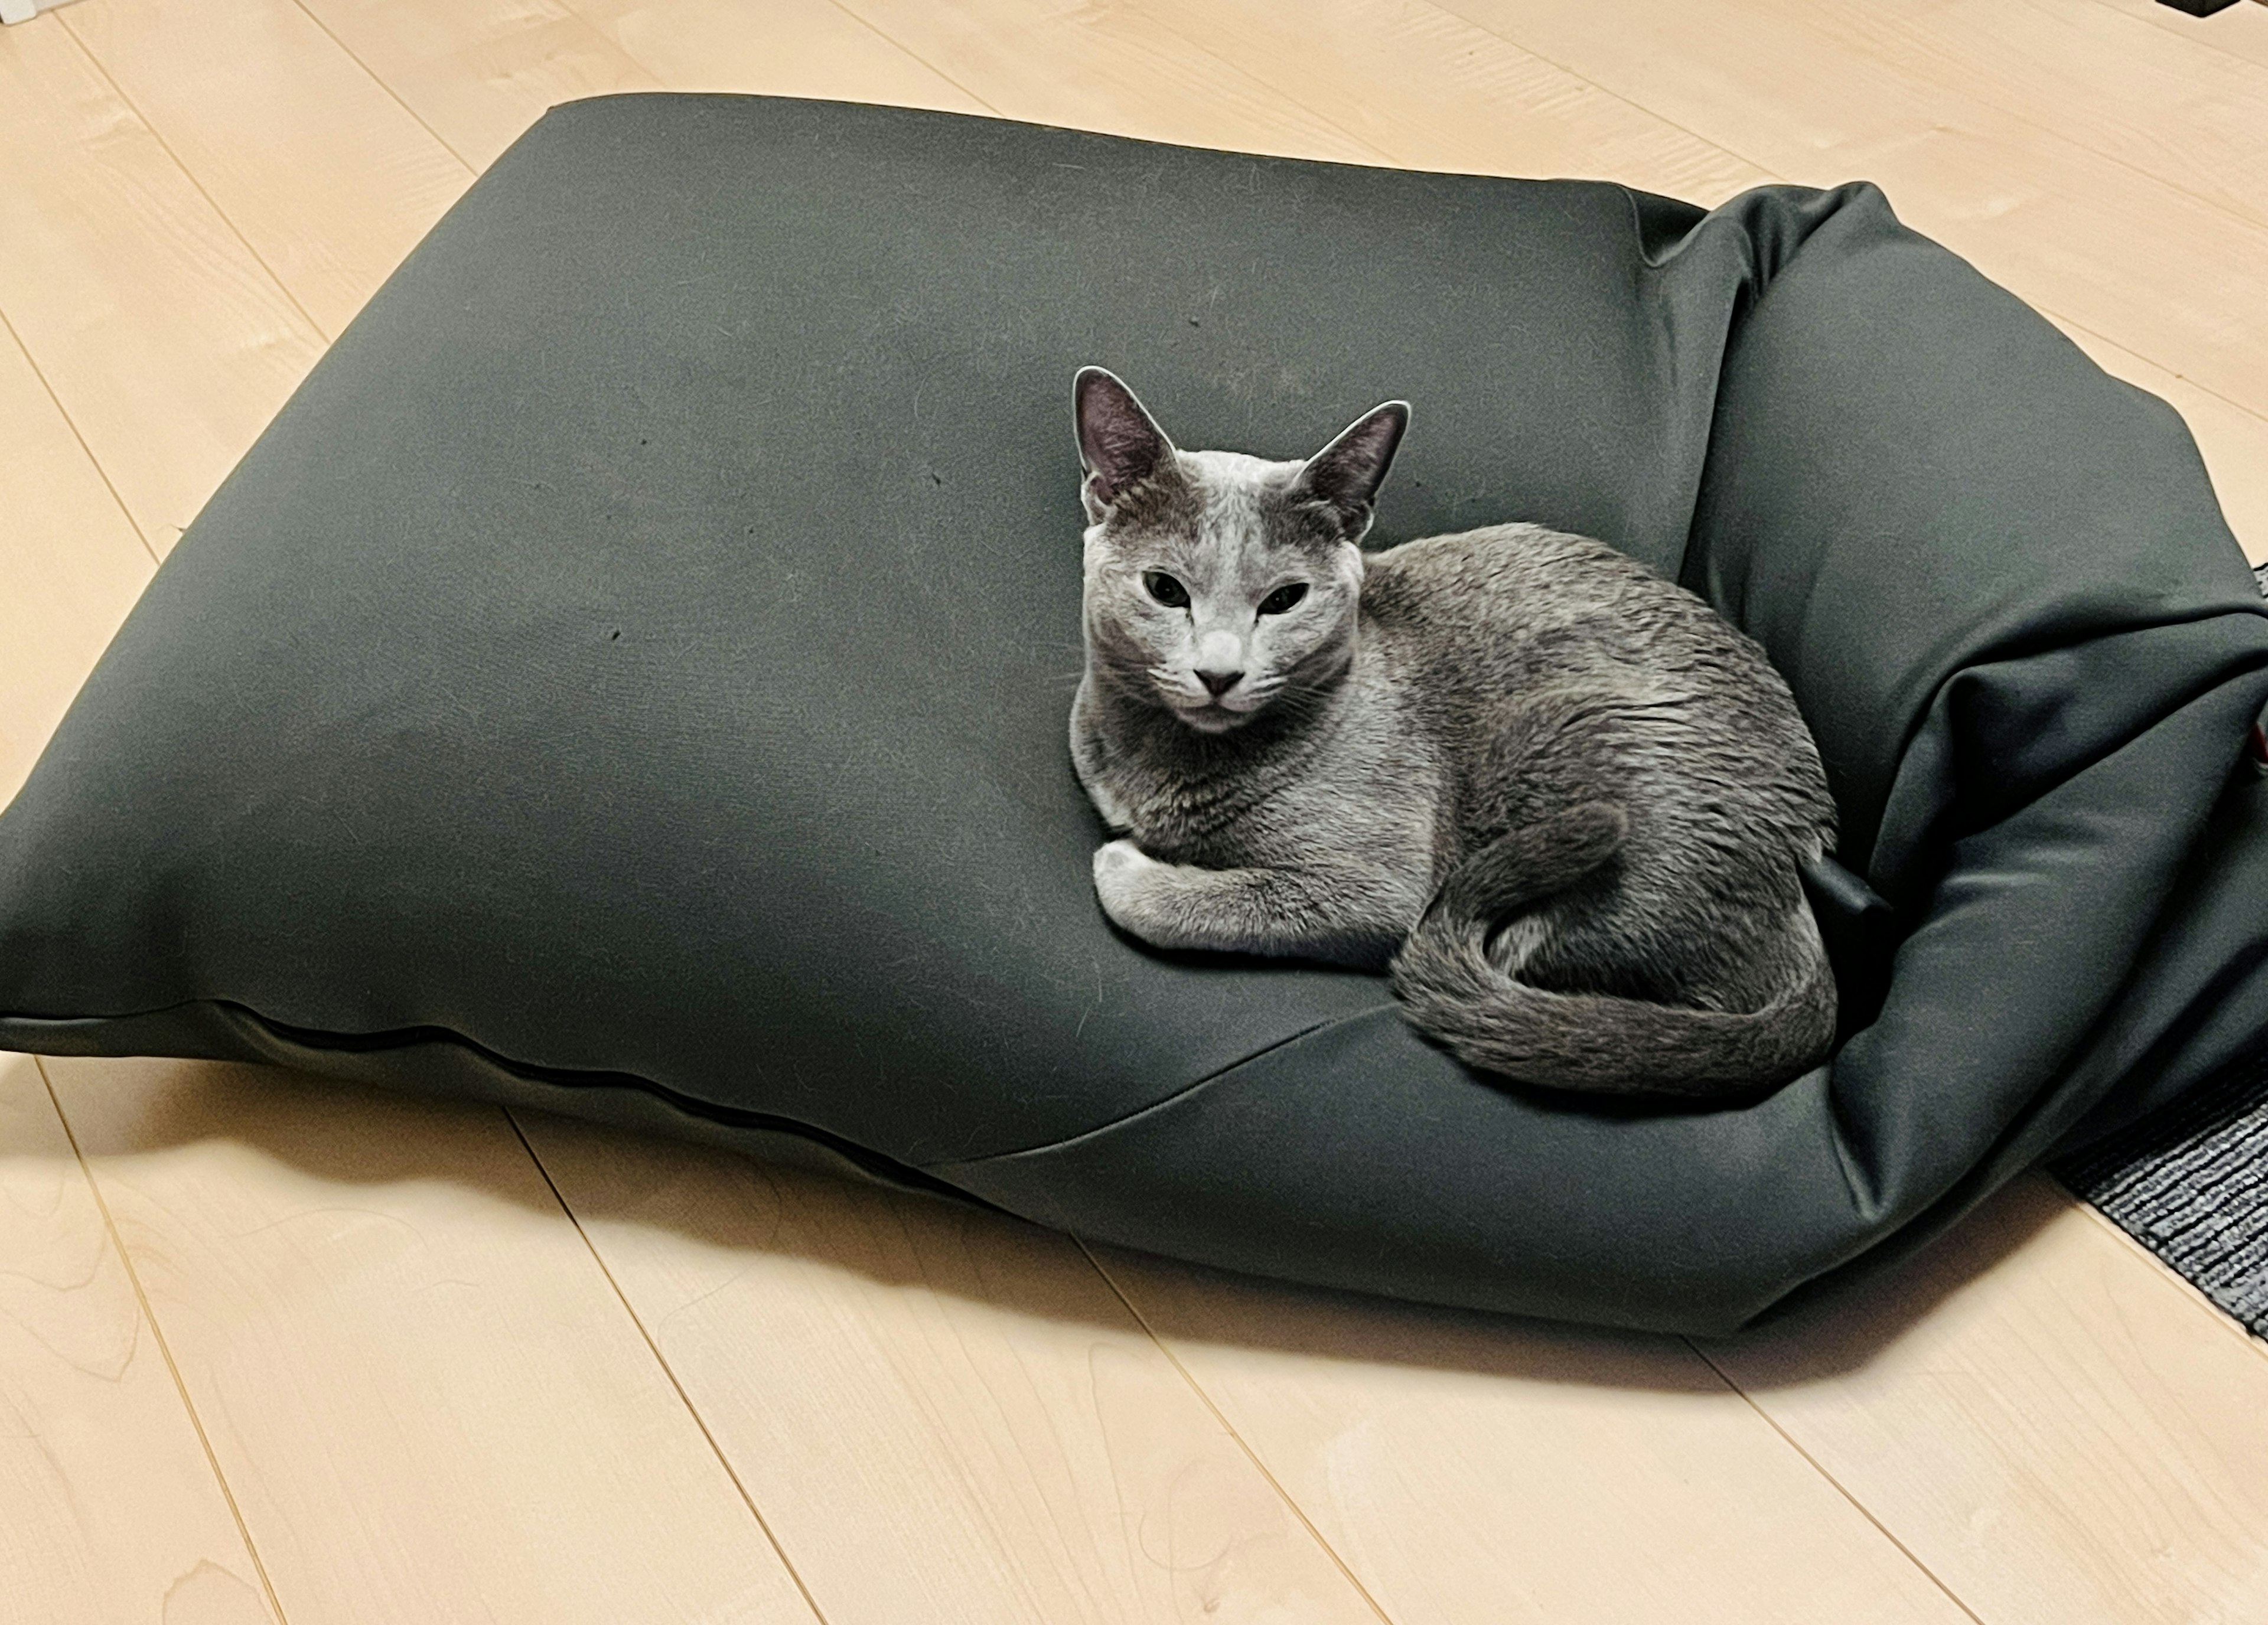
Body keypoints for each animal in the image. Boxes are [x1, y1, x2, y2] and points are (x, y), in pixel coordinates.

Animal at [1065, 364, 1842, 1101]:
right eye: (1165, 589)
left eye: (1285, 600)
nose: (1219, 673)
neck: (1162, 761)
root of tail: (1802, 869)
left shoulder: (1380, 888)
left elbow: (1197, 900)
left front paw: (1132, 865)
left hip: (1574, 742)